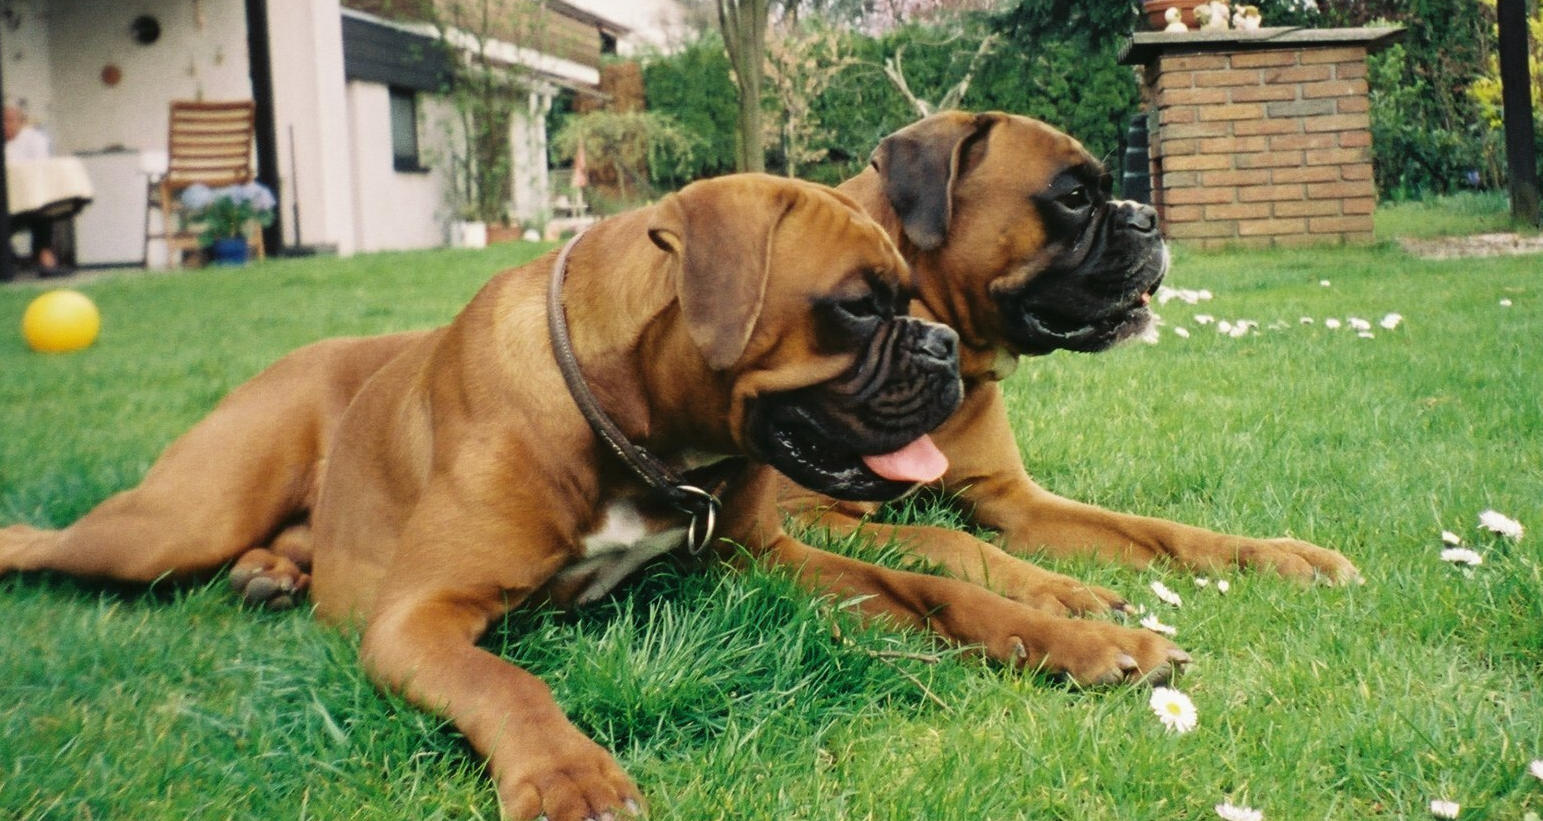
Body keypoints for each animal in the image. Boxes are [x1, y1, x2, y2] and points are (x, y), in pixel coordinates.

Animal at [774, 111, 1361, 617]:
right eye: (1075, 198)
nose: (1148, 216)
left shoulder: (1015, 500)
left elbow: (1154, 528)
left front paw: (1275, 553)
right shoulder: (808, 516)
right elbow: (951, 539)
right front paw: (1061, 590)